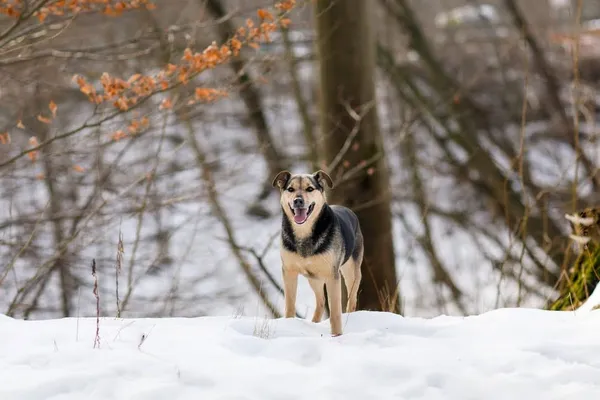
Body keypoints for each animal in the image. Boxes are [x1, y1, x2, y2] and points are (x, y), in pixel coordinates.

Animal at [274, 168, 366, 334]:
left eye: (310, 189)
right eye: (290, 189)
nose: (298, 201)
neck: (304, 233)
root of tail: (348, 209)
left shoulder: (332, 275)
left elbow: (335, 311)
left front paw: (337, 335)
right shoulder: (289, 271)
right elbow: (290, 305)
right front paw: (289, 324)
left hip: (351, 271)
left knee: (352, 298)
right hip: (313, 278)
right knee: (321, 301)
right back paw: (314, 322)